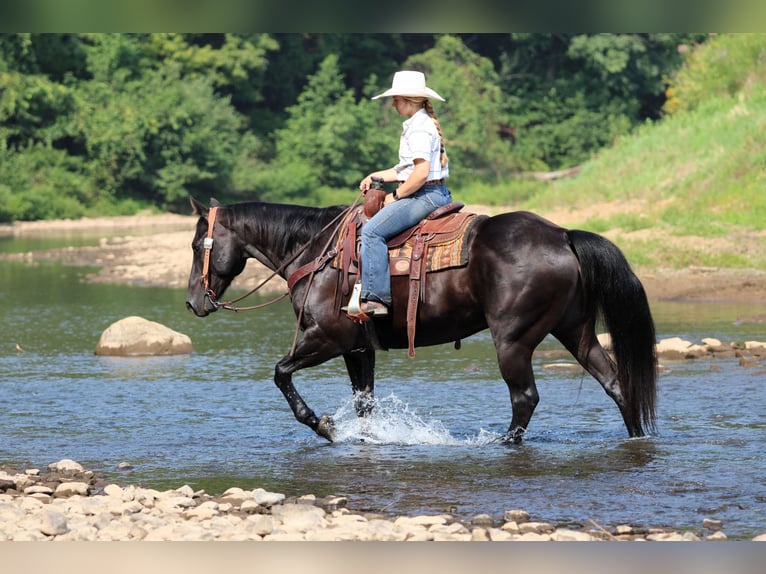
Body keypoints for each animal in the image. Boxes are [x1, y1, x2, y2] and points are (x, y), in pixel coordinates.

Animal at [185, 196, 657, 444]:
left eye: (195, 244)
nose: (192, 302)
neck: (318, 253)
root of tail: (562, 235)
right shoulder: (358, 348)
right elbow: (365, 401)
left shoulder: (328, 339)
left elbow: (281, 373)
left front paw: (324, 425)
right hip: (575, 331)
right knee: (616, 383)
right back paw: (636, 437)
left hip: (513, 340)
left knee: (525, 397)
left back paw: (503, 444)